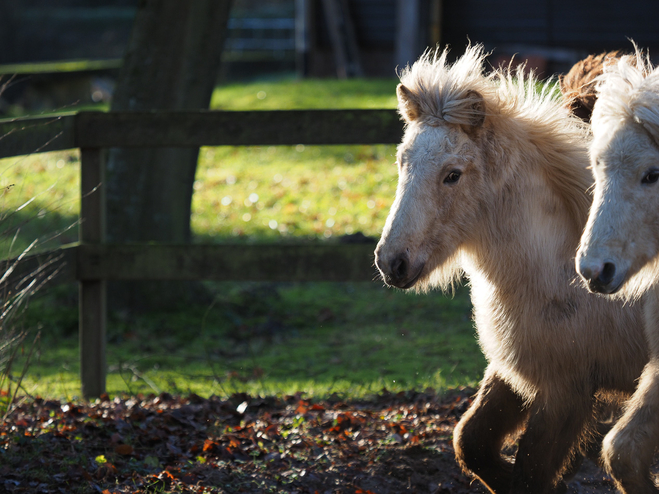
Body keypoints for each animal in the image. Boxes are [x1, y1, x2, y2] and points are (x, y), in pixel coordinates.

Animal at [376, 45, 648, 494]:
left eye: (453, 174)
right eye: (401, 162)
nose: (391, 262)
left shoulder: (564, 391)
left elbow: (530, 473)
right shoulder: (516, 373)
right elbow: (471, 442)